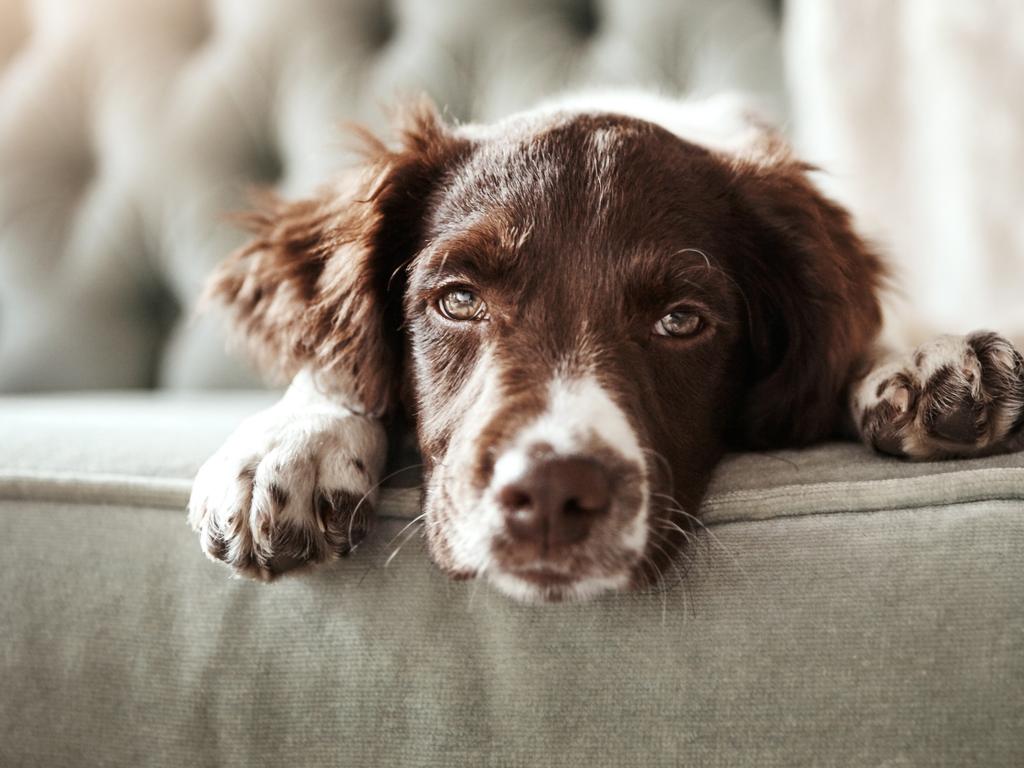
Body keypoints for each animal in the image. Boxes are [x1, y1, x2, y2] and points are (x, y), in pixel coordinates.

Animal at [186, 93, 1024, 606]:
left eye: (682, 320)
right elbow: (334, 361)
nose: (554, 493)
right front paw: (288, 445)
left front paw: (924, 365)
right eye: (457, 300)